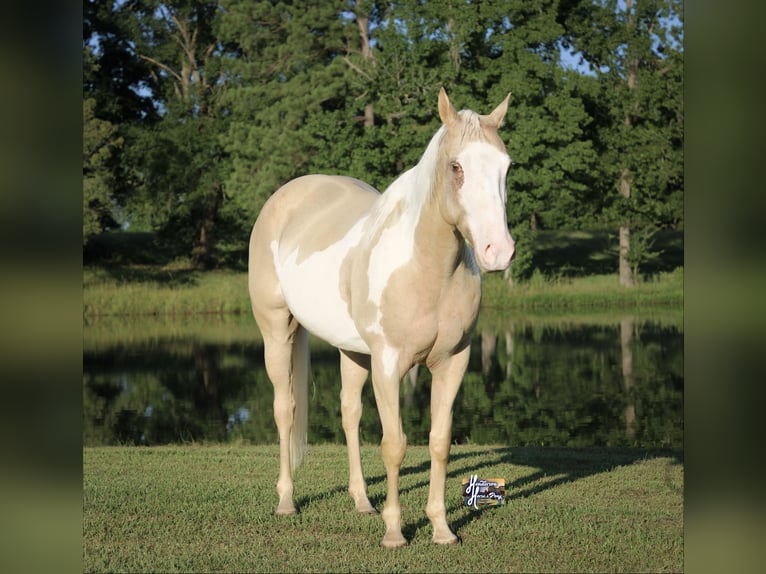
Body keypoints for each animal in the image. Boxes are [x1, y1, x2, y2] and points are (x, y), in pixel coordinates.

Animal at [248, 88, 515, 547]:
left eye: (505, 166)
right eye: (456, 166)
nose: (498, 251)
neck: (427, 268)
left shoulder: (453, 361)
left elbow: (439, 442)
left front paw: (442, 529)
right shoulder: (389, 364)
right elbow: (394, 445)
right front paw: (394, 532)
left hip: (353, 352)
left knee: (349, 413)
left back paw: (361, 501)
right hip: (277, 332)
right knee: (285, 409)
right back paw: (286, 501)